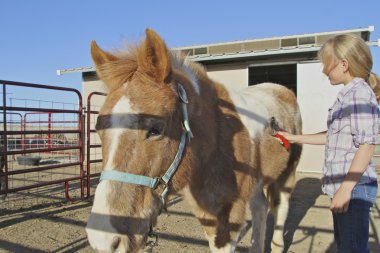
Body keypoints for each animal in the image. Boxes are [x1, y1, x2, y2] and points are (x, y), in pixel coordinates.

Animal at [86, 29, 302, 253]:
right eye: (99, 128)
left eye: (155, 130)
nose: (104, 239)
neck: (217, 142)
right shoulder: (208, 214)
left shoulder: (231, 215)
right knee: (260, 207)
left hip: (286, 176)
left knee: (280, 209)